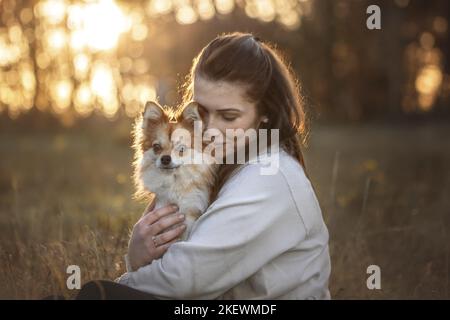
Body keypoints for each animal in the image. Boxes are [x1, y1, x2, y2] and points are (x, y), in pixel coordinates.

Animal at [132, 100, 216, 240]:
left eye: (181, 149)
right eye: (156, 147)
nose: (165, 158)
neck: (174, 180)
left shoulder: (191, 214)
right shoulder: (161, 208)